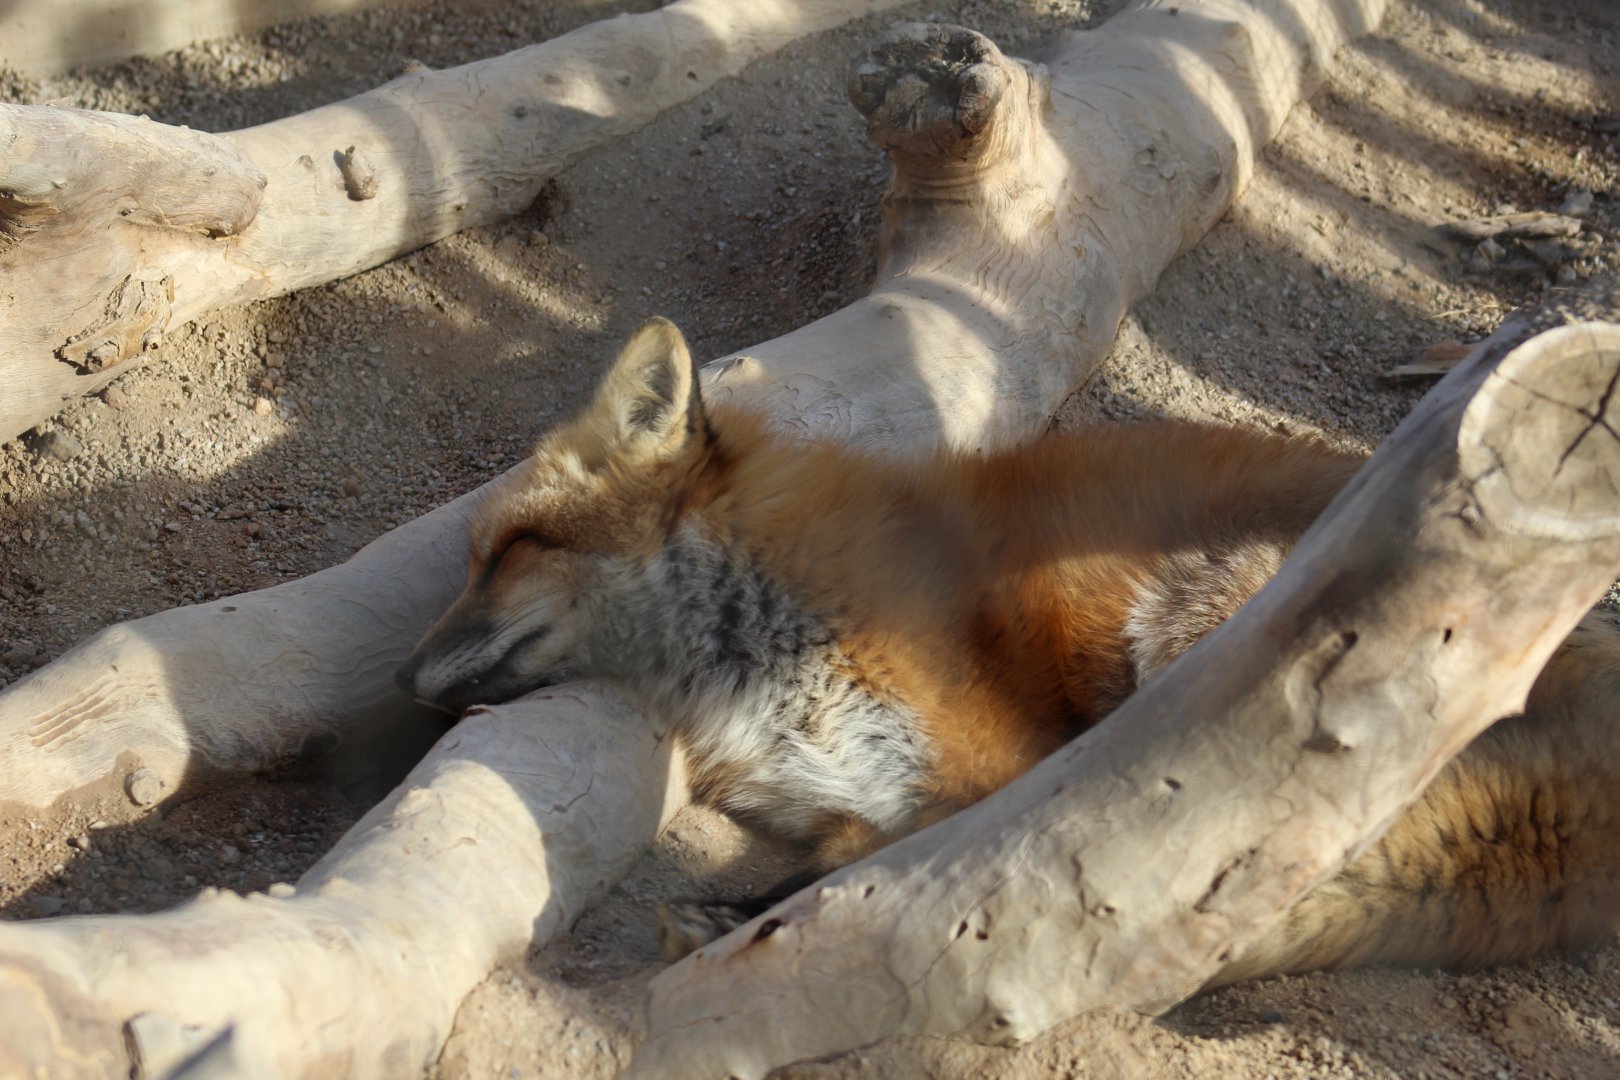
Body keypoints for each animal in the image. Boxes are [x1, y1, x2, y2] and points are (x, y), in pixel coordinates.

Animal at [397, 317, 1620, 982]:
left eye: (511, 549)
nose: (406, 684)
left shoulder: (996, 765)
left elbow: (881, 877)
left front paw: (731, 921)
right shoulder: (845, 795)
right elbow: (844, 863)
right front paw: (743, 914)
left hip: (1196, 632)